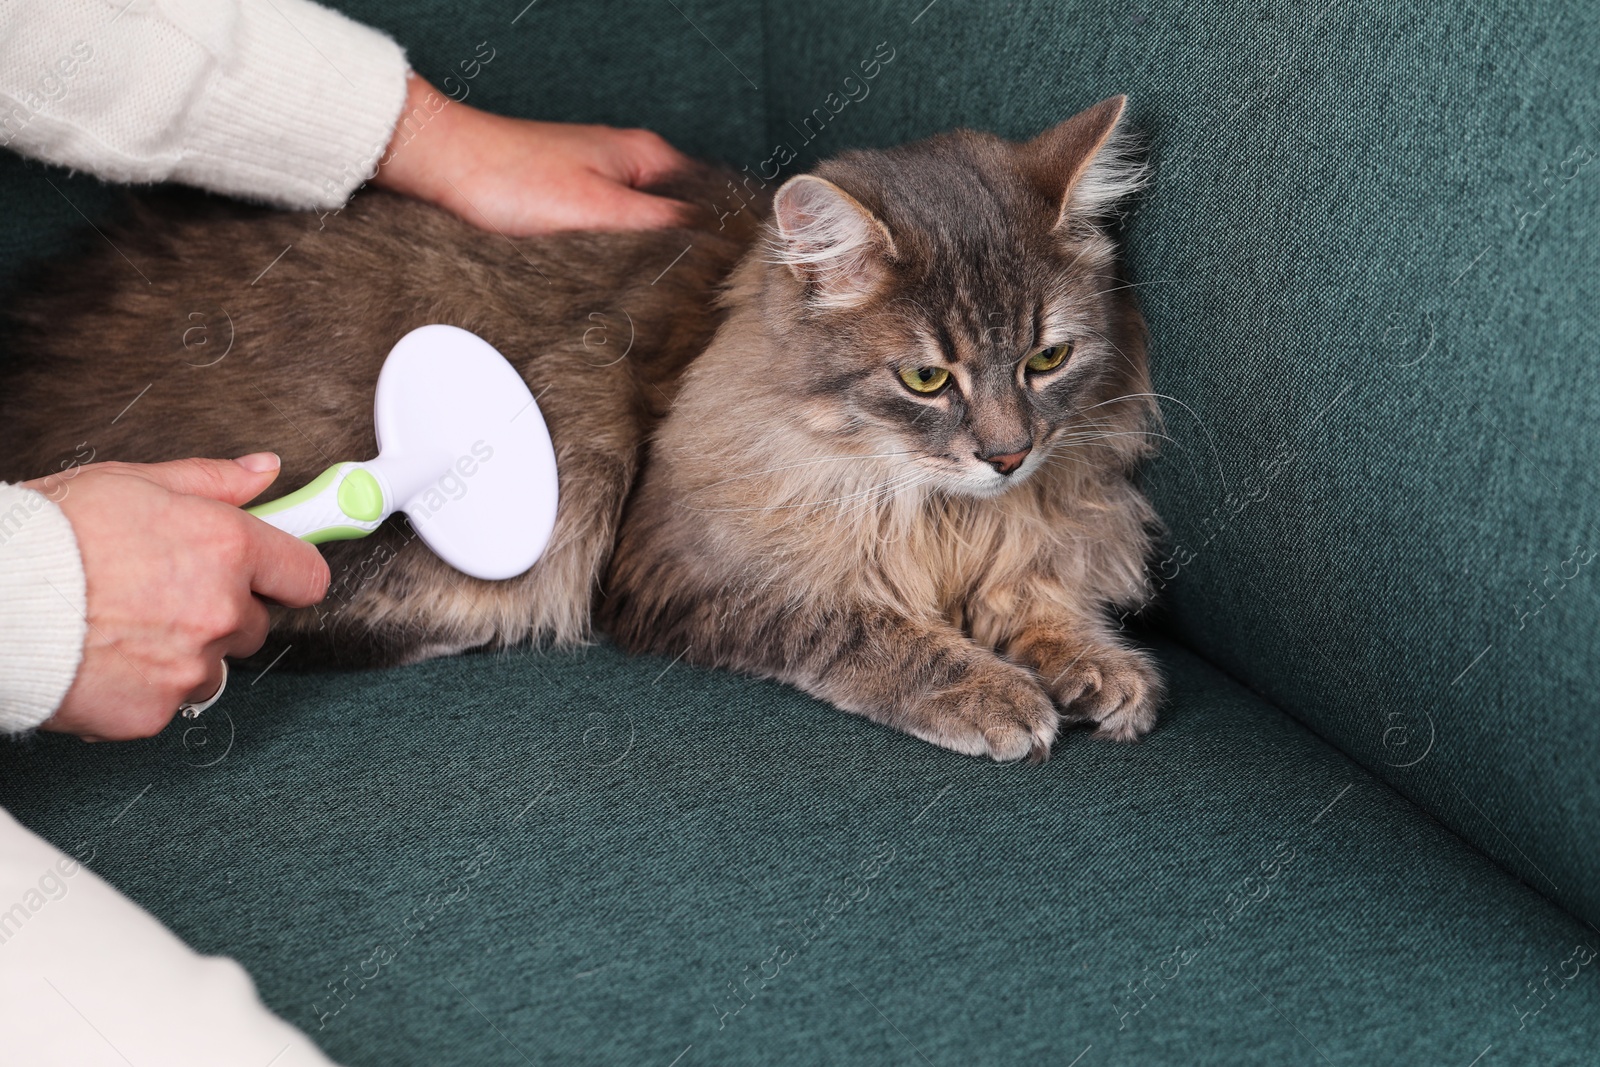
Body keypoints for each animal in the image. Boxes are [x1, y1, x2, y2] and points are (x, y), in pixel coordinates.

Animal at [0, 93, 1164, 758]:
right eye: (926, 377)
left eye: (1046, 359)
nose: (1009, 452)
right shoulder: (680, 567)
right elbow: (863, 628)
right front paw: (991, 692)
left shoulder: (1030, 533)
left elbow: (1038, 594)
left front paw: (1095, 668)